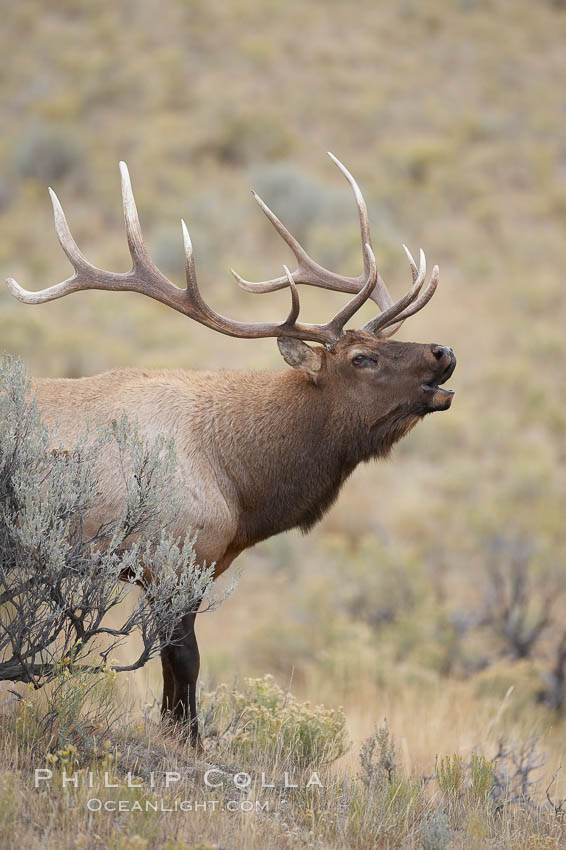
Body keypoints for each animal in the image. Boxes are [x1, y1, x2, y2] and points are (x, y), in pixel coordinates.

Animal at [4, 152, 458, 744]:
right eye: (362, 358)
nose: (443, 351)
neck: (241, 485)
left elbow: (171, 670)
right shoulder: (173, 557)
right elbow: (184, 662)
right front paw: (190, 742)